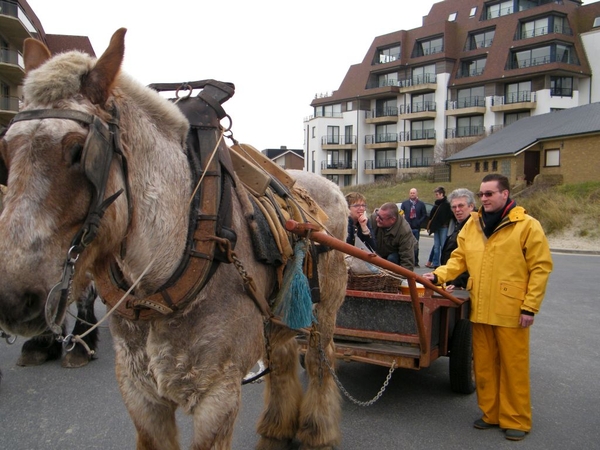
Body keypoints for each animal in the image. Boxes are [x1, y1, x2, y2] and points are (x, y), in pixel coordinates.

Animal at [0, 28, 346, 450]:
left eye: (79, 151)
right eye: (6, 149)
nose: (11, 297)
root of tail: (331, 188)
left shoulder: (218, 394)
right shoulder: (139, 391)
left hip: (326, 307)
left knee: (319, 358)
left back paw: (316, 429)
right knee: (281, 357)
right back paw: (278, 426)